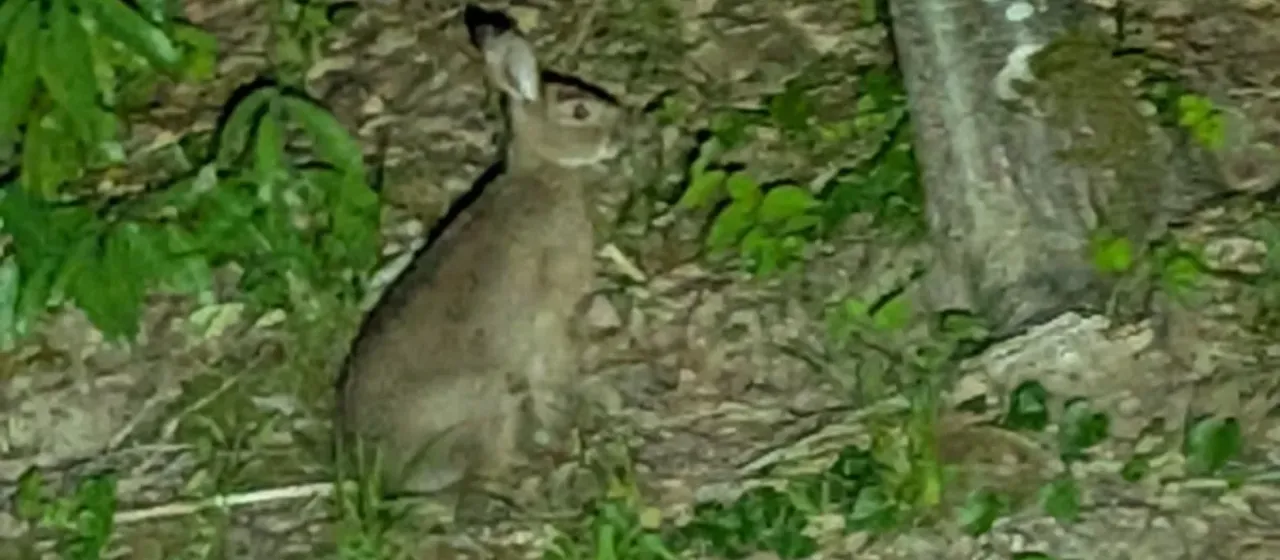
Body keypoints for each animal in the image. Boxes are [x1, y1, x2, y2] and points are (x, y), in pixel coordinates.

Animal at [334, 3, 626, 501]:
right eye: (579, 111)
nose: (621, 131)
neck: (542, 171)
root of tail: (382, 470)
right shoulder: (550, 317)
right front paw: (564, 424)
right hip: (487, 399)